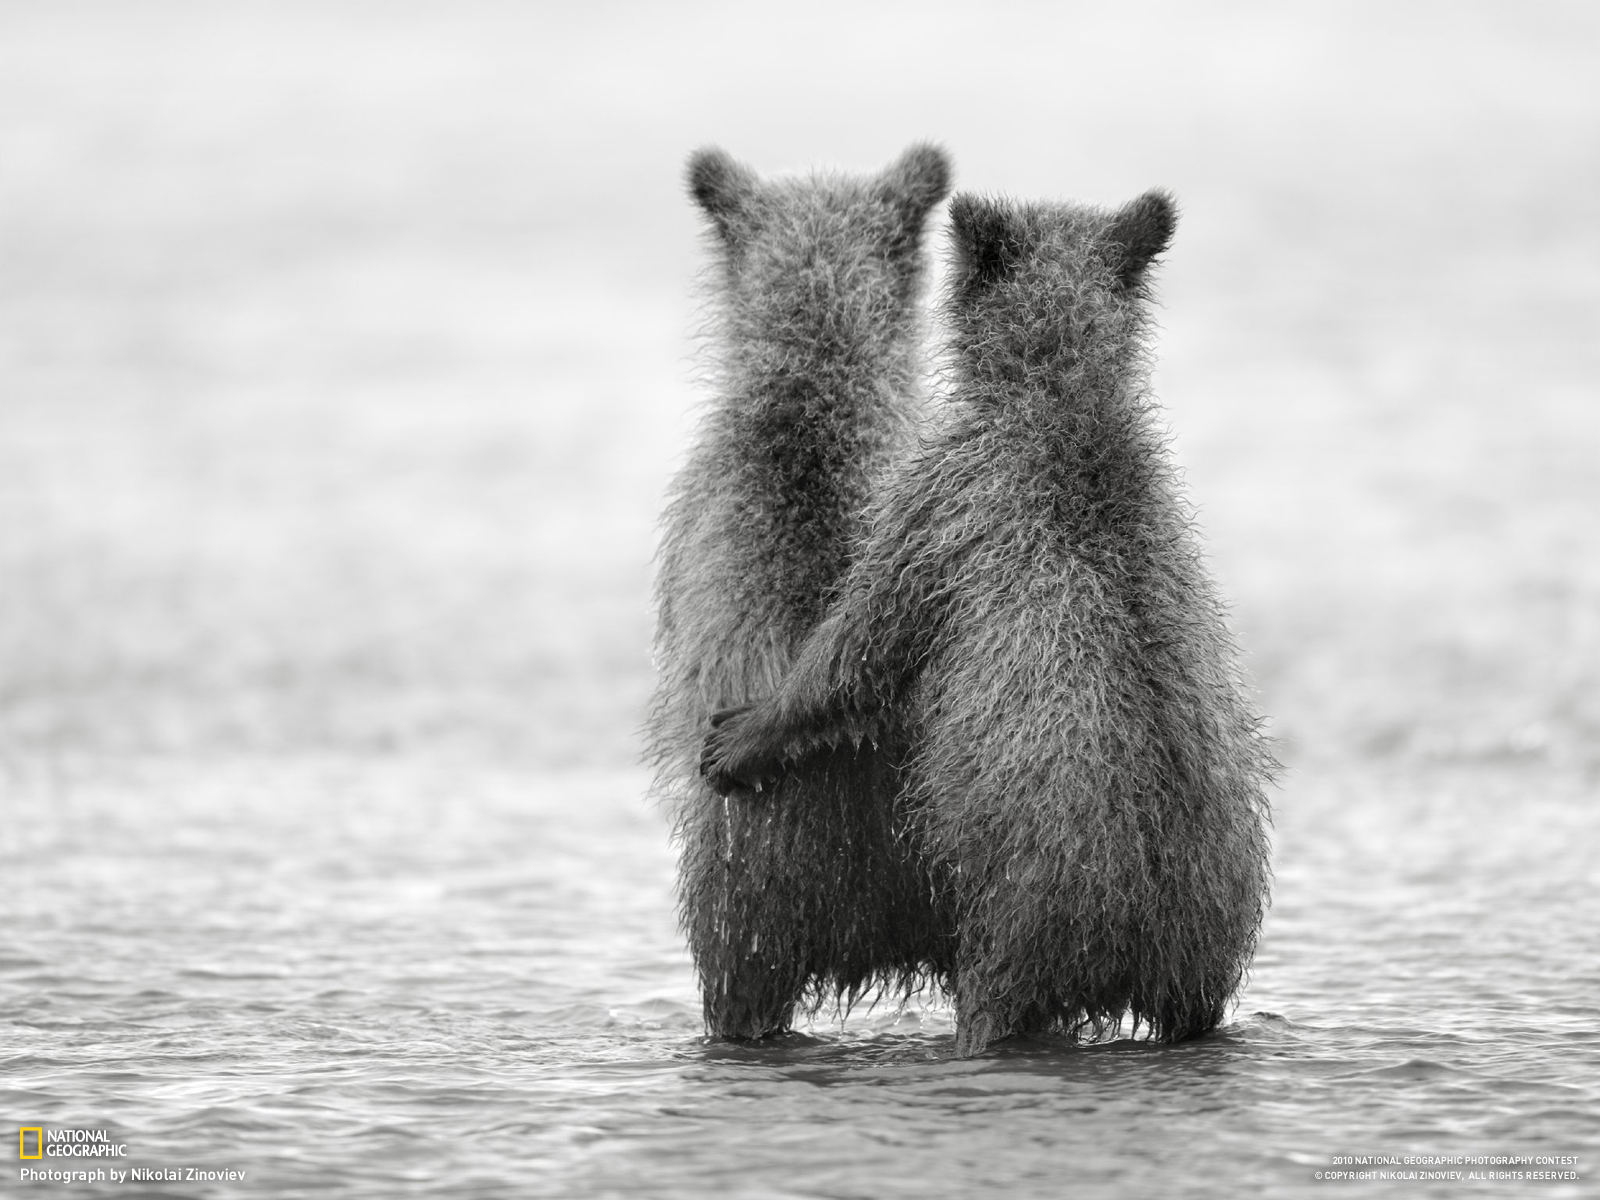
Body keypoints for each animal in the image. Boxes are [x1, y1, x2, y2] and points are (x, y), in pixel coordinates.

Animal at [701, 189, 1275, 1056]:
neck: (1060, 395)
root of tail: (1149, 924)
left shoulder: (944, 503)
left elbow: (861, 647)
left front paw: (741, 734)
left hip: (1026, 906)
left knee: (993, 999)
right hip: (1208, 925)